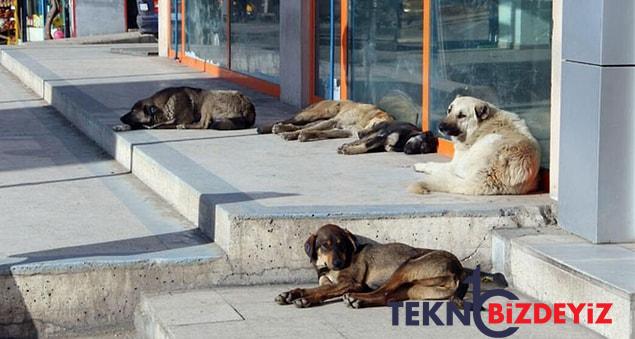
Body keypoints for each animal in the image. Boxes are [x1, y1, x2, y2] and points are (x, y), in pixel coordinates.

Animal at [113, 86, 255, 131]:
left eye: (133, 111)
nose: (120, 118)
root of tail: (248, 106)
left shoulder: (177, 120)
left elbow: (159, 125)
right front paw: (121, 127)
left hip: (208, 100)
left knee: (204, 124)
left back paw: (184, 126)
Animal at [256, 101, 396, 143]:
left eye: (380, 132)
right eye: (375, 125)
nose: (361, 135)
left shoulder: (345, 131)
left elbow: (321, 132)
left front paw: (305, 135)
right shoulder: (335, 121)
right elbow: (308, 129)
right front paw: (292, 135)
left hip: (317, 119)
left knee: (300, 126)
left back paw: (283, 128)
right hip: (314, 114)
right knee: (289, 121)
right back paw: (269, 128)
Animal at [276, 224, 510, 310]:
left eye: (342, 245)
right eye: (325, 245)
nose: (338, 263)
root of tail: (460, 269)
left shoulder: (351, 282)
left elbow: (321, 292)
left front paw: (304, 299)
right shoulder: (327, 281)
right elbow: (316, 288)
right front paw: (291, 293)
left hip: (406, 268)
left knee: (382, 292)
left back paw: (355, 299)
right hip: (413, 289)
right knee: (386, 297)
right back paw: (359, 301)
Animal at [412, 96, 540, 197]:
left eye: (462, 115)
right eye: (449, 110)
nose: (440, 127)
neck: (482, 125)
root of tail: (491, 173)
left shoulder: (455, 163)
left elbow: (433, 164)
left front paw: (421, 165)